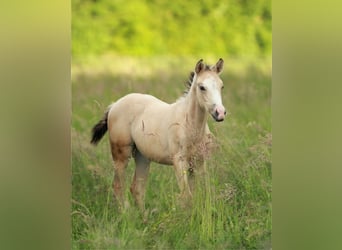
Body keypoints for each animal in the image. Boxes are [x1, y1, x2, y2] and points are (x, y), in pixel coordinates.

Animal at [90, 58, 227, 211]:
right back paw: (126, 213)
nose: (220, 113)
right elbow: (187, 196)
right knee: (118, 186)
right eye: (202, 87)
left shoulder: (199, 161)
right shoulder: (179, 161)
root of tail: (114, 105)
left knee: (137, 189)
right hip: (121, 154)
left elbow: (199, 193)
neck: (190, 126)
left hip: (142, 157)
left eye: (221, 86)